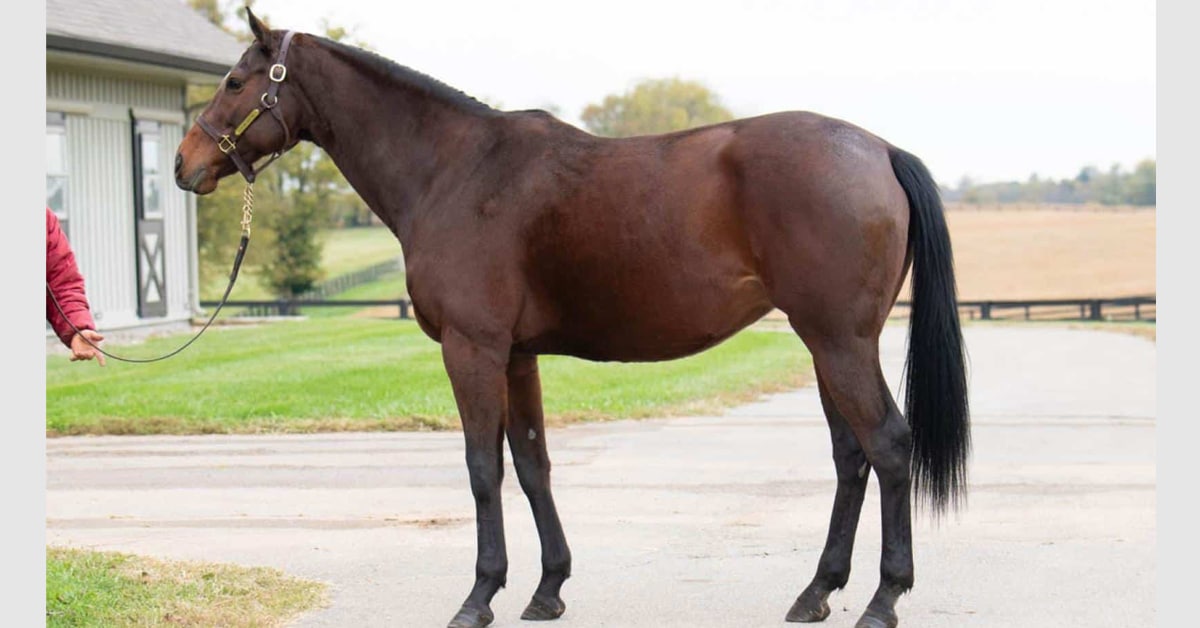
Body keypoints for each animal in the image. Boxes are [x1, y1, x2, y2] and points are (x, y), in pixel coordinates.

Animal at [176, 10, 969, 628]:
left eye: (236, 81)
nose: (186, 164)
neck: (455, 170)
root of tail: (879, 150)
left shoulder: (472, 349)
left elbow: (483, 469)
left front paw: (479, 596)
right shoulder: (516, 355)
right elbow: (533, 464)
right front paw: (547, 588)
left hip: (839, 343)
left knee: (888, 445)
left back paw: (883, 599)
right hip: (824, 344)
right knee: (851, 456)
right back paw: (815, 593)